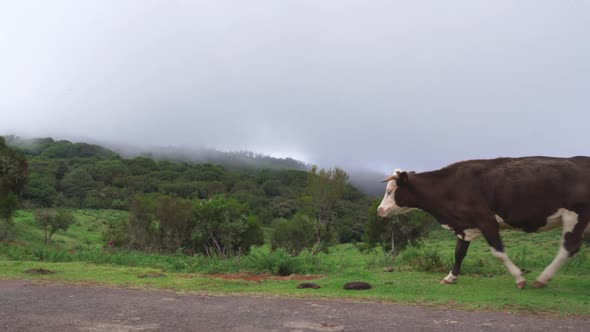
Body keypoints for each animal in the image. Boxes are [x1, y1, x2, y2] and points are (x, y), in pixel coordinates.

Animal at [380, 157, 590, 290]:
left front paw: (519, 278)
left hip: (575, 216)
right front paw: (450, 277)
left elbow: (498, 252)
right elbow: (459, 253)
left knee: (569, 248)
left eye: (390, 191)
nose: (379, 210)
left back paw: (542, 279)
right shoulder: (465, 226)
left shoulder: (486, 220)